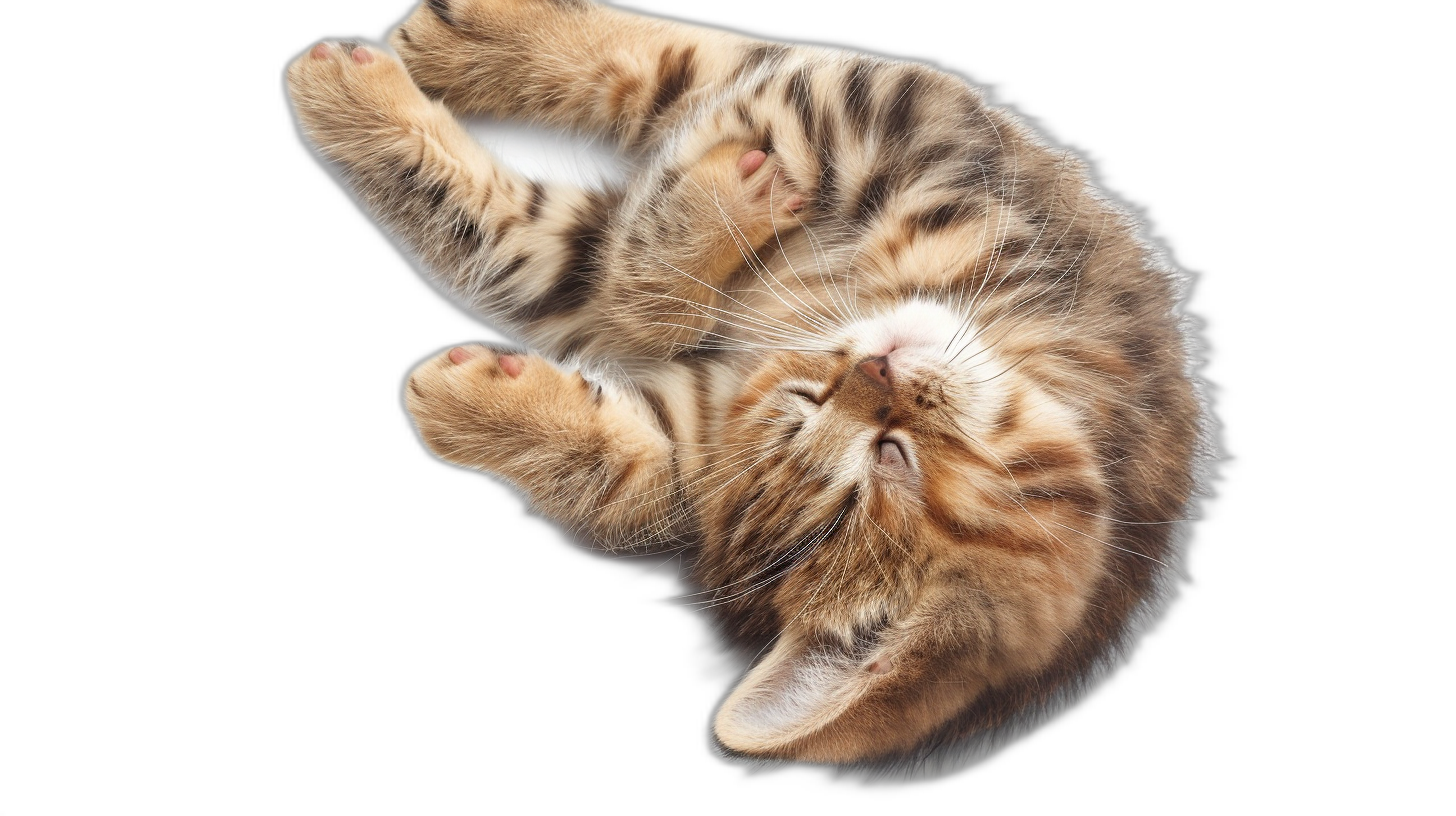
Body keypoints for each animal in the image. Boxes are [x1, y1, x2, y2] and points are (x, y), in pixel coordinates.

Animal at [281, 0, 1217, 786]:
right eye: (807, 408)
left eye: (889, 458)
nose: (872, 369)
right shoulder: (875, 108)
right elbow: (667, 78)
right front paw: (470, 35)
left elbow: (611, 288)